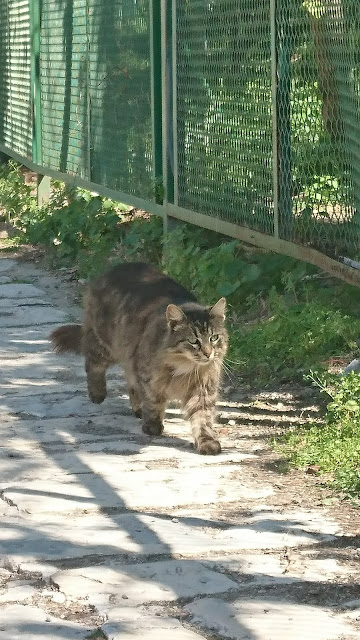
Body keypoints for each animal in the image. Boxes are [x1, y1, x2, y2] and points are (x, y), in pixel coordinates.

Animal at [50, 262, 228, 456]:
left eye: (214, 338)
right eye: (194, 341)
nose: (208, 353)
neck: (185, 368)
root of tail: (115, 267)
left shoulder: (203, 390)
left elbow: (202, 418)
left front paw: (207, 442)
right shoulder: (148, 378)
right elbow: (153, 403)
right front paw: (153, 426)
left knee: (129, 382)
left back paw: (136, 408)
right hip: (105, 345)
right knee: (92, 364)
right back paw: (98, 394)